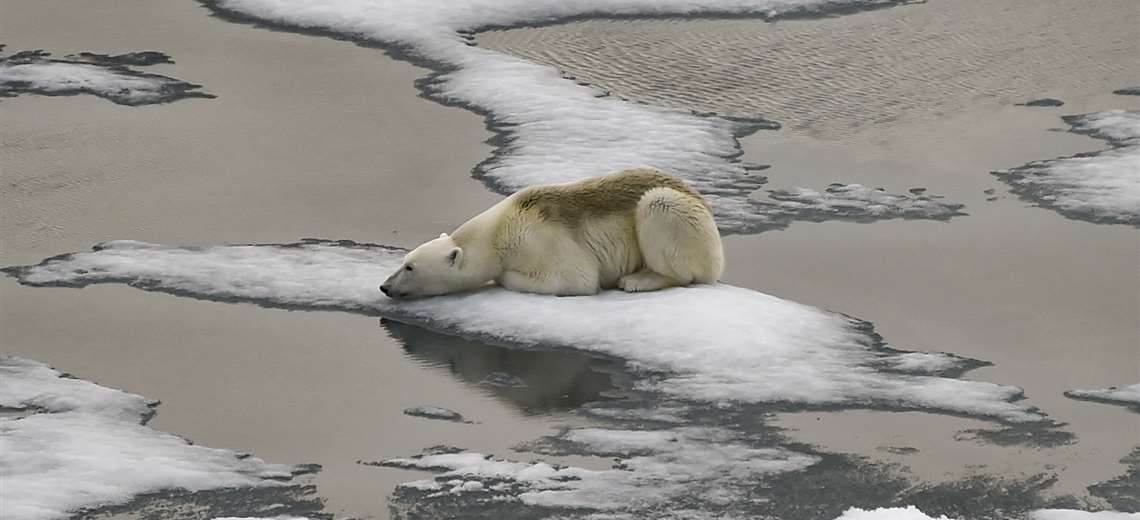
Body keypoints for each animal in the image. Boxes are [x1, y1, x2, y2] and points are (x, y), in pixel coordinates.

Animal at [380, 168, 720, 298]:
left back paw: (638, 280)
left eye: (409, 267)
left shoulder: (540, 239)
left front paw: (505, 277)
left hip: (684, 218)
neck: (500, 230)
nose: (384, 286)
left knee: (659, 207)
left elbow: (575, 278)